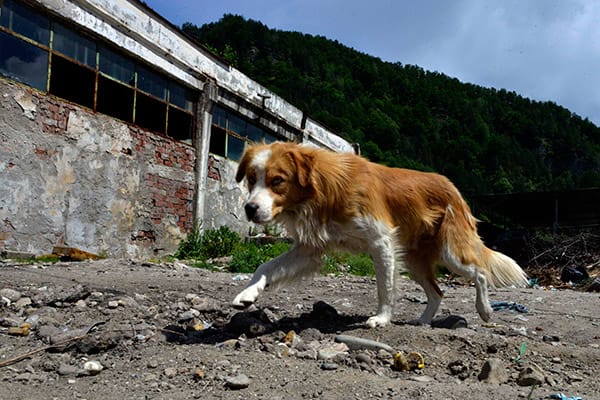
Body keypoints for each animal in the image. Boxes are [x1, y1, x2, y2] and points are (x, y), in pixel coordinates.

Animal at [232, 142, 528, 326]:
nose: (249, 208)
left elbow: (384, 287)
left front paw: (382, 318)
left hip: (451, 252)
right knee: (437, 293)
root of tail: (453, 187)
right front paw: (247, 295)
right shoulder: (310, 249)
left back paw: (485, 310)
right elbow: (265, 266)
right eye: (251, 179)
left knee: (480, 272)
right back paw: (423, 321)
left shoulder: (381, 241)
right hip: (413, 260)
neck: (323, 189)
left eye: (277, 181)